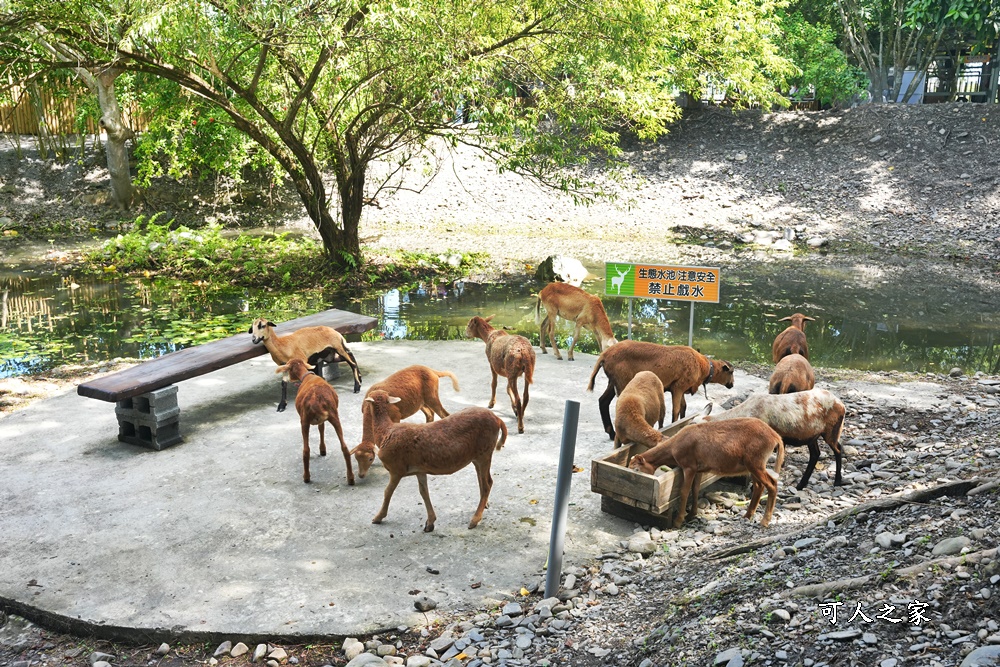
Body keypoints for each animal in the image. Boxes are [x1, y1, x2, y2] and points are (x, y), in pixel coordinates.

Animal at [366, 392, 508, 532]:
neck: (385, 432)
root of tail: (498, 419)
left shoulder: (396, 469)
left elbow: (387, 492)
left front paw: (377, 518)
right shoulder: (419, 470)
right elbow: (423, 492)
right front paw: (430, 523)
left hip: (484, 453)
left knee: (487, 485)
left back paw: (474, 520)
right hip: (478, 456)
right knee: (485, 480)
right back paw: (484, 506)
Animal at [584, 342, 736, 440]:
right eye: (731, 372)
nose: (732, 385)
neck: (704, 368)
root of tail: (604, 355)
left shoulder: (680, 388)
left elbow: (683, 408)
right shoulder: (678, 387)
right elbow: (676, 411)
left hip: (613, 381)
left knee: (602, 401)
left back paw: (611, 433)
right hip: (622, 381)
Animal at [628, 420, 784, 528]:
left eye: (636, 469)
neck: (673, 448)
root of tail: (776, 436)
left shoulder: (689, 466)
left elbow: (684, 492)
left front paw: (679, 521)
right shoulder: (698, 469)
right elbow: (695, 489)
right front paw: (692, 514)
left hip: (755, 463)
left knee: (772, 485)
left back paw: (765, 521)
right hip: (752, 465)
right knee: (759, 486)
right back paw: (747, 515)